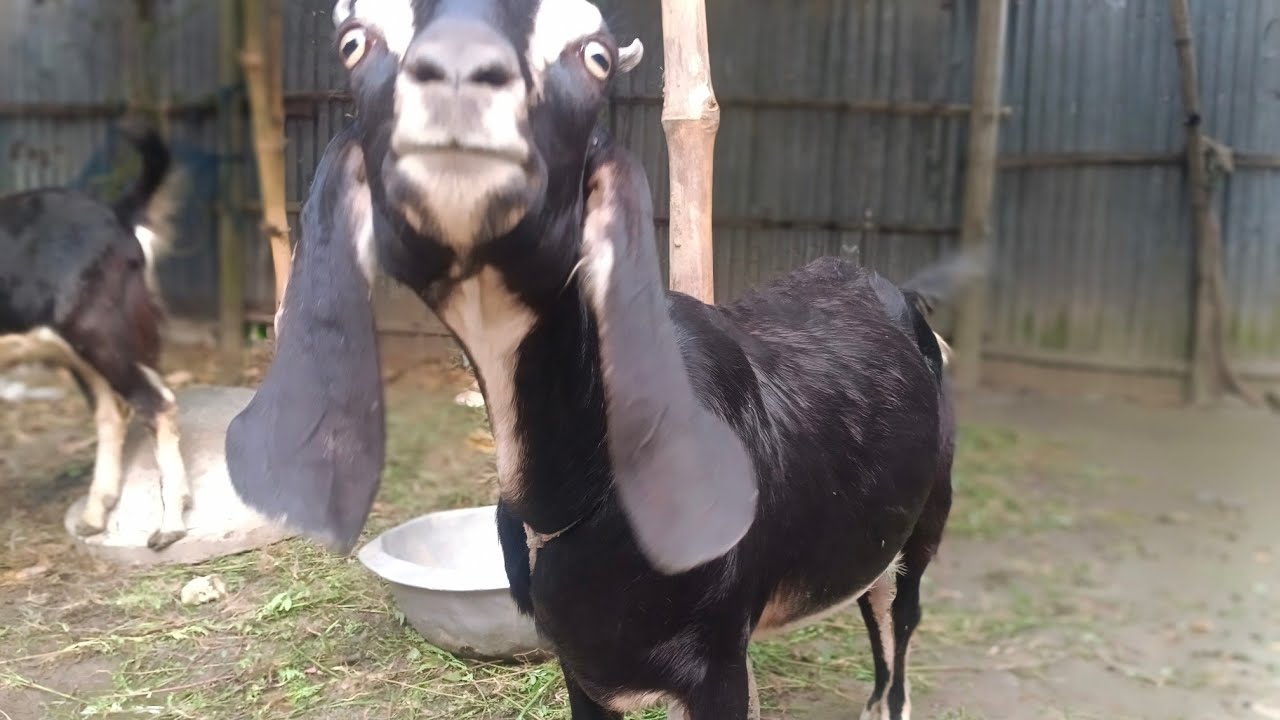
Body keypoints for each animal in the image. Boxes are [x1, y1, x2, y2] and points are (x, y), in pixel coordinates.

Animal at [0, 123, 191, 551]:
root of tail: (117, 214)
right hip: (83, 348)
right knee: (112, 410)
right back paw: (94, 513)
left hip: (98, 330)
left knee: (154, 402)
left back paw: (169, 526)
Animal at [226, 2, 965, 718]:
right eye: (354, 43)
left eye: (595, 56)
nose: (459, 83)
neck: (575, 493)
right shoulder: (580, 664)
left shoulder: (718, 659)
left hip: (924, 525)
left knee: (896, 640)